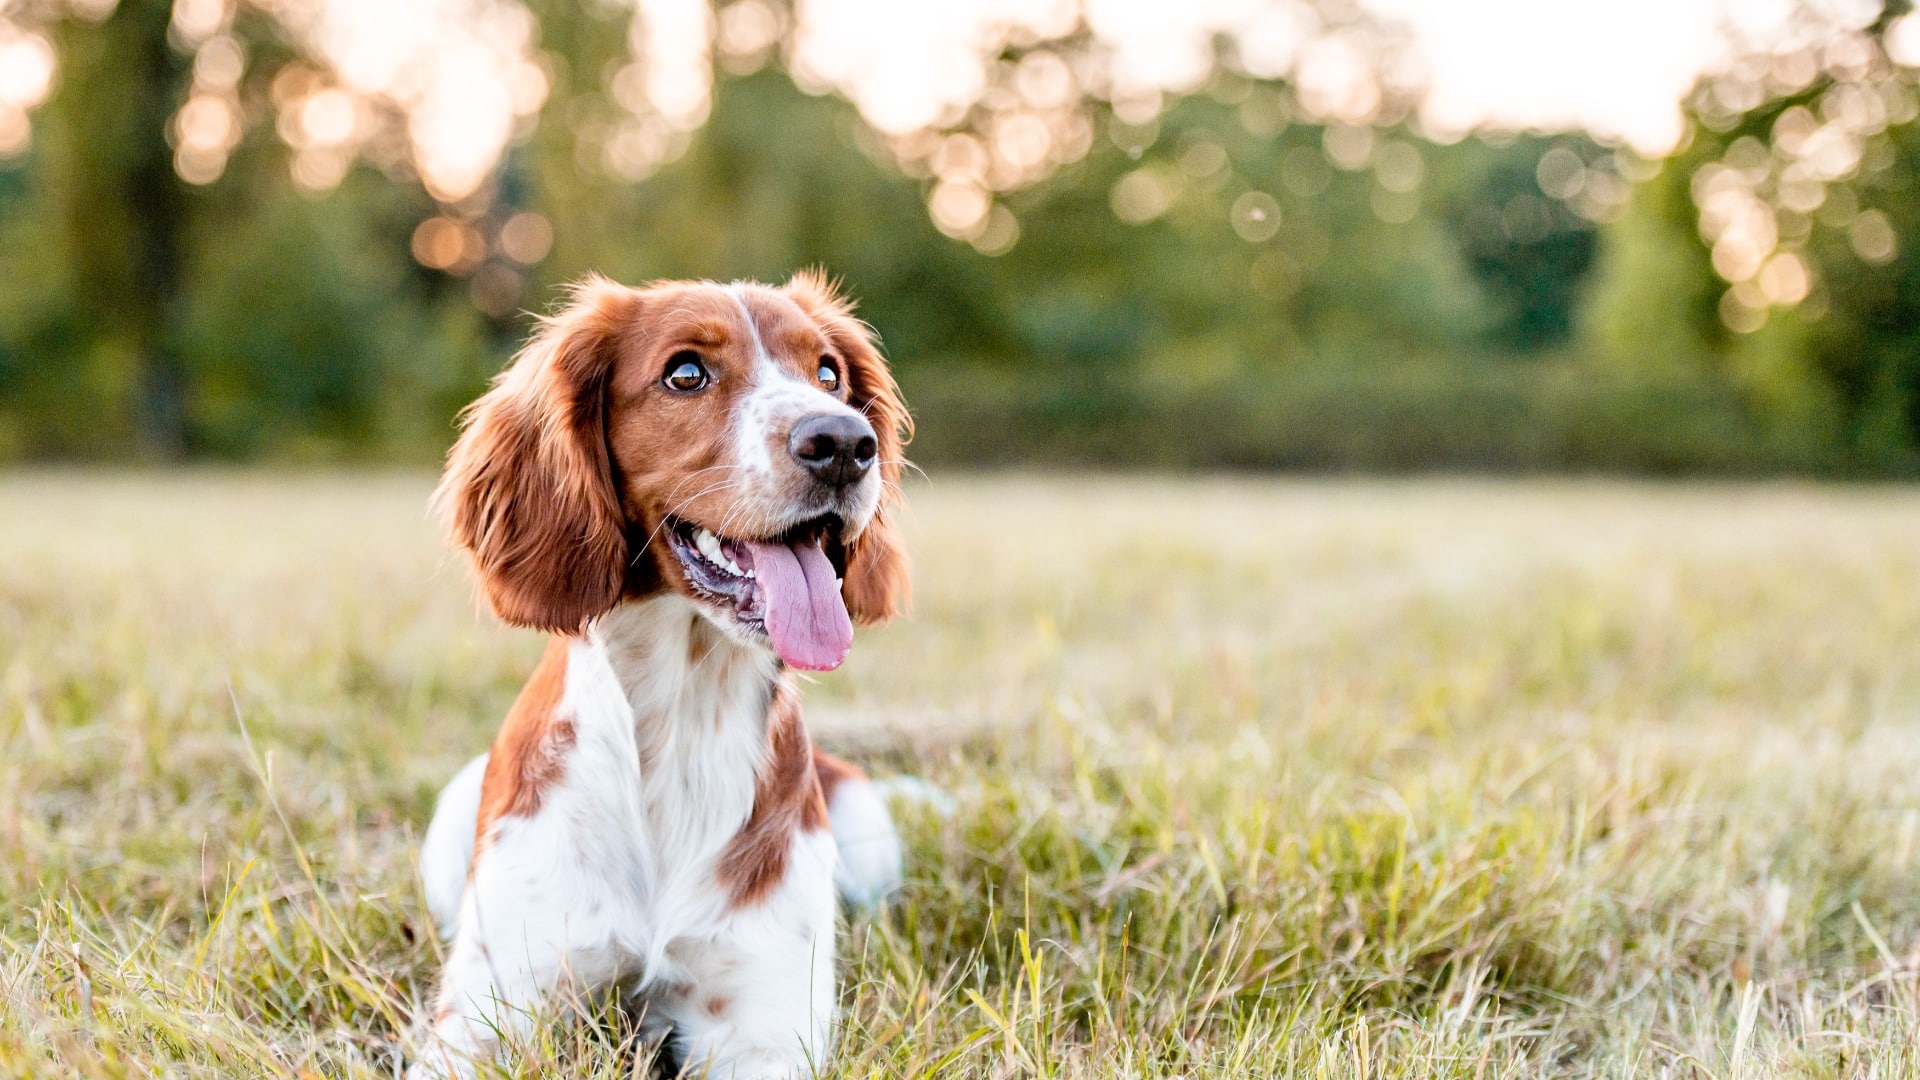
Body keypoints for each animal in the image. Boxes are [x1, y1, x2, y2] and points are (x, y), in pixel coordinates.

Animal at [407, 272, 913, 1076]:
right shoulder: (487, 1017)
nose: (843, 443)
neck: (684, 716)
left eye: (828, 373)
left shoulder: (764, 1026)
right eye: (685, 374)